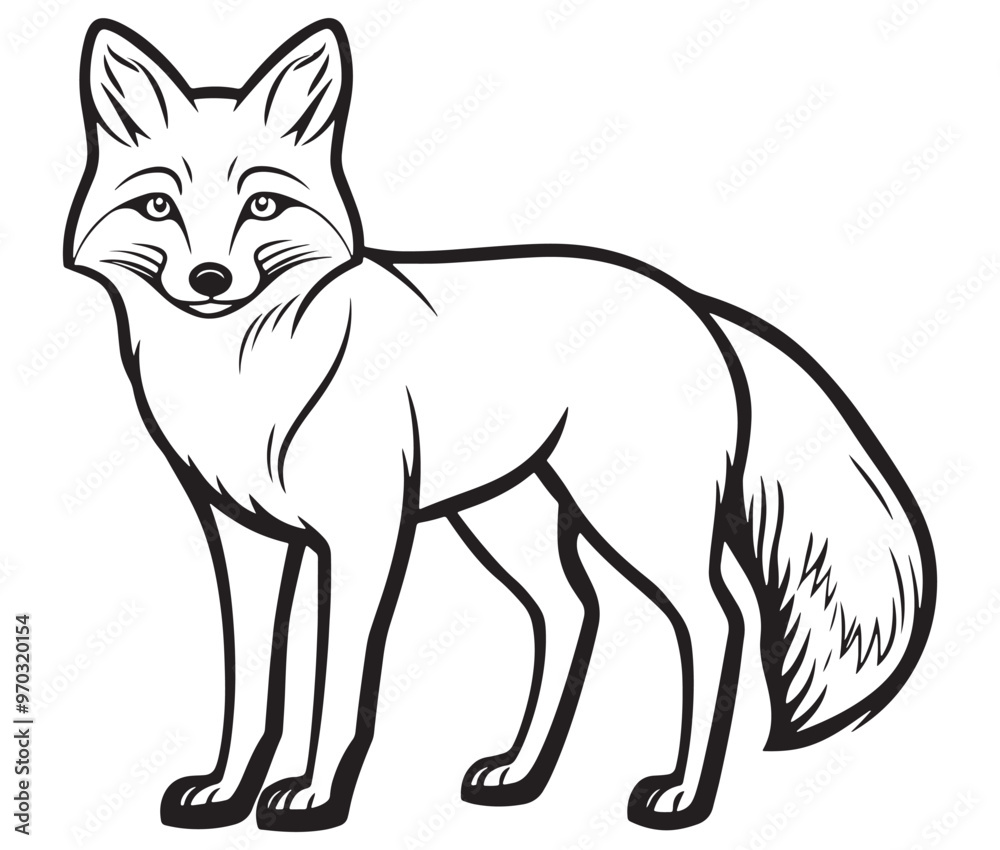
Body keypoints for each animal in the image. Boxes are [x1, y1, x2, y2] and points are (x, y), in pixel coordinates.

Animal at [64, 18, 935, 833]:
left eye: (263, 206)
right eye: (159, 206)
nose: (210, 278)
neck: (248, 375)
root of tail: (690, 296)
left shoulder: (364, 537)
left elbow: (340, 685)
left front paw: (313, 796)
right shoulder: (244, 538)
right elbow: (251, 685)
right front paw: (224, 792)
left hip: (633, 522)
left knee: (720, 619)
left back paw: (683, 795)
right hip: (503, 521)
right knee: (574, 612)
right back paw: (521, 775)